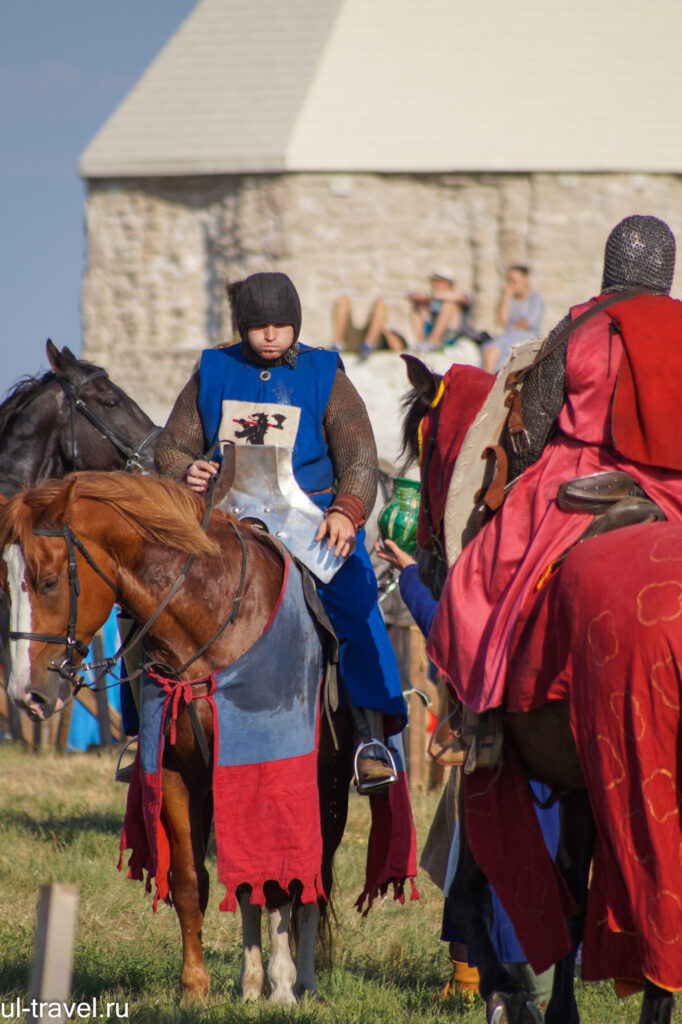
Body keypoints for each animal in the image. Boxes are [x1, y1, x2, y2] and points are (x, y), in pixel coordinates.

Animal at [0, 471, 350, 999]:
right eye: (7, 587)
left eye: (49, 581)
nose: (26, 695)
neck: (216, 618)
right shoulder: (178, 776)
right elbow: (190, 882)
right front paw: (196, 987)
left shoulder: (273, 777)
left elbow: (280, 882)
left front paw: (284, 987)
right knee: (246, 885)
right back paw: (250, 983)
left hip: (330, 792)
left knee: (313, 878)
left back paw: (301, 979)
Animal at [399, 358, 675, 1024]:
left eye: (423, 449)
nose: (424, 551)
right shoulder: (577, 787)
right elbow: (571, 897)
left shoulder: (498, 772)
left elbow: (476, 890)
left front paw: (510, 992)